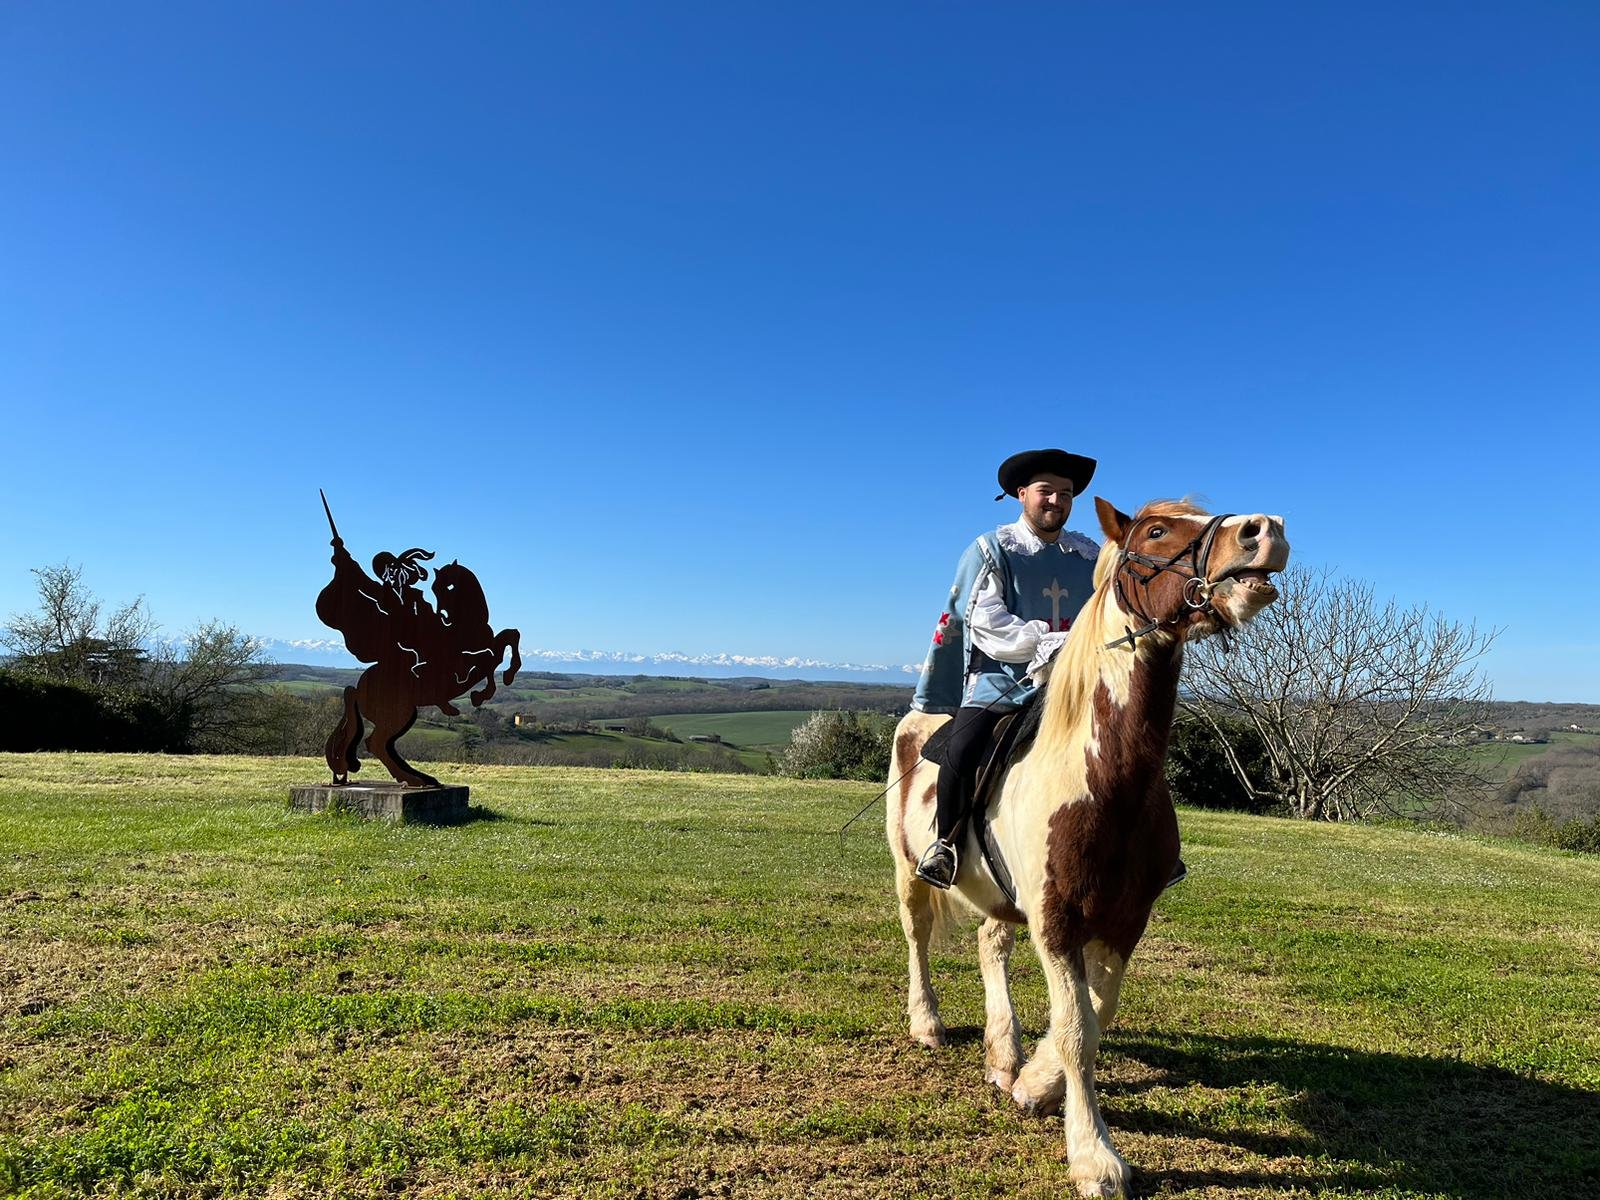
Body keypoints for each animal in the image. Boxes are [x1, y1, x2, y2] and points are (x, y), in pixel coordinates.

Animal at [889, 499, 1286, 1200]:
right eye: (1156, 530)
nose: (1264, 531)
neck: (1100, 780)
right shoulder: (1056, 923)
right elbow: (1078, 1031)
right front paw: (1093, 1155)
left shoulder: (1124, 922)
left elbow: (1095, 1013)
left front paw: (1035, 1082)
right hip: (911, 873)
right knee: (917, 939)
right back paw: (928, 1024)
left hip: (1001, 898)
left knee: (991, 947)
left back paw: (1004, 1053)